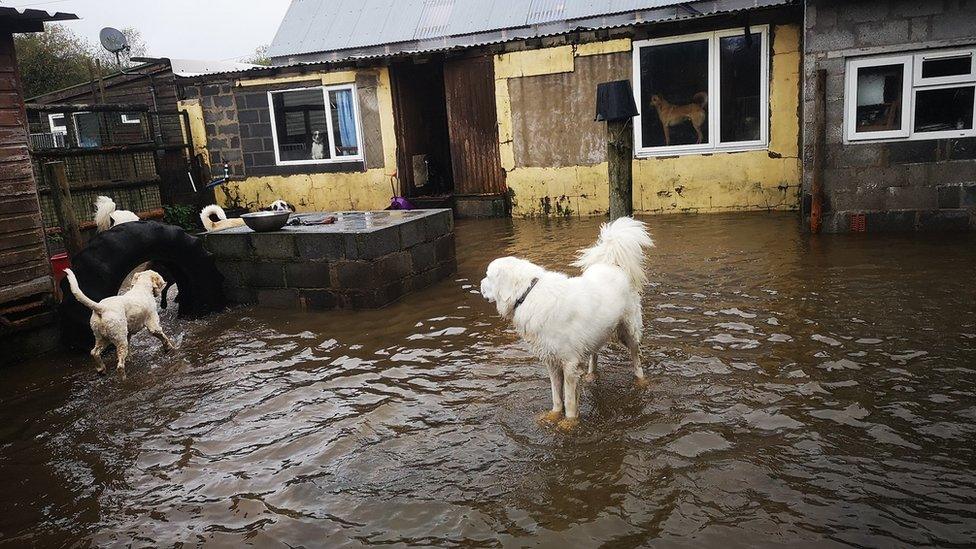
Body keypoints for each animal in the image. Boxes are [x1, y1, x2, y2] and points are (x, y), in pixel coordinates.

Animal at [476, 216, 652, 430]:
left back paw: (641, 381)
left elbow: (569, 401)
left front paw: (568, 423)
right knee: (594, 353)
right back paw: (591, 375)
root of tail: (613, 264)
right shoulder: (552, 361)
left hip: (629, 330)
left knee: (636, 357)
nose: (479, 285)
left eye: (488, 276)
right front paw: (553, 416)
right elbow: (556, 397)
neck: (527, 294)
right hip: (598, 332)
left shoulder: (569, 364)